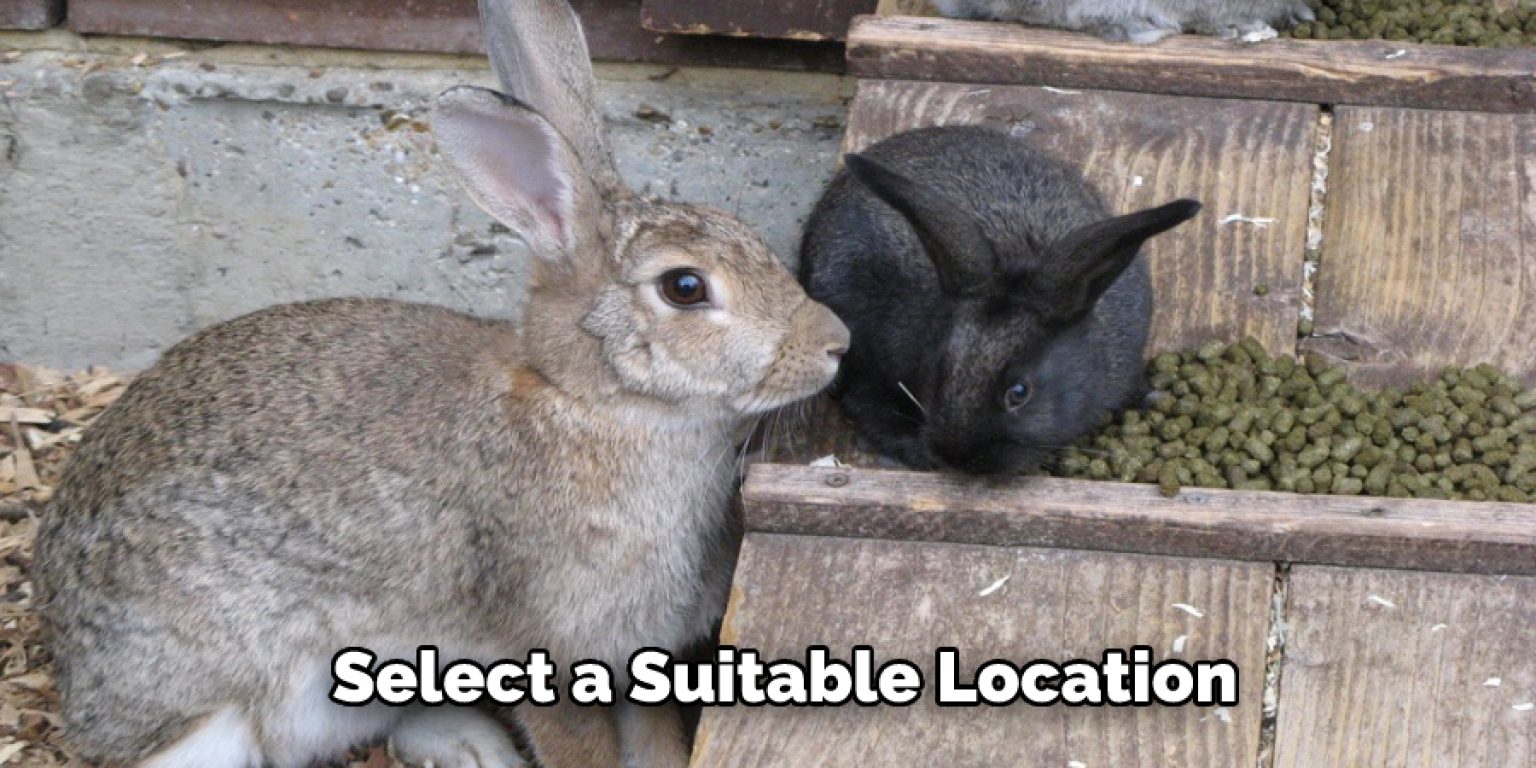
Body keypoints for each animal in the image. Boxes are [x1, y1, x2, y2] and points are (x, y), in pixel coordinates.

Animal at [32, 0, 849, 766]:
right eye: (685, 287)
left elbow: (655, 743)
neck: (595, 404)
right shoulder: (547, 653)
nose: (835, 343)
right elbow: (578, 748)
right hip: (217, 706)